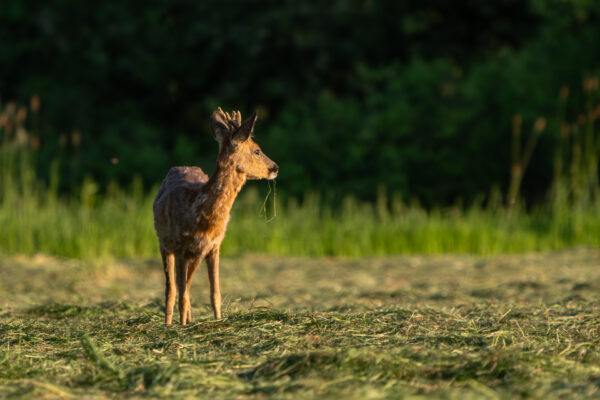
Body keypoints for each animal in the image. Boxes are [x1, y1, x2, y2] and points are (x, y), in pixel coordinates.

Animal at [152, 107, 278, 324]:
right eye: (257, 150)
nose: (275, 168)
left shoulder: (214, 247)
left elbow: (215, 294)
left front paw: (218, 321)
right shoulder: (180, 247)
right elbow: (180, 295)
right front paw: (180, 327)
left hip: (196, 255)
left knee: (187, 286)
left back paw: (189, 320)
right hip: (164, 245)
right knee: (172, 290)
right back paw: (169, 324)